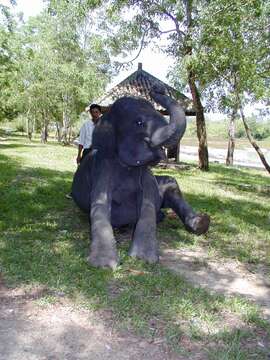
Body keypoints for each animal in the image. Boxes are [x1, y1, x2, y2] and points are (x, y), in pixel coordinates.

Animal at [70, 86, 210, 268]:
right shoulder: (102, 167)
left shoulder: (146, 176)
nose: (157, 89)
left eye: (161, 116)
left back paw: (200, 223)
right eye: (139, 123)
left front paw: (143, 259)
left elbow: (148, 204)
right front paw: (104, 264)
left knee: (171, 183)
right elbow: (100, 203)